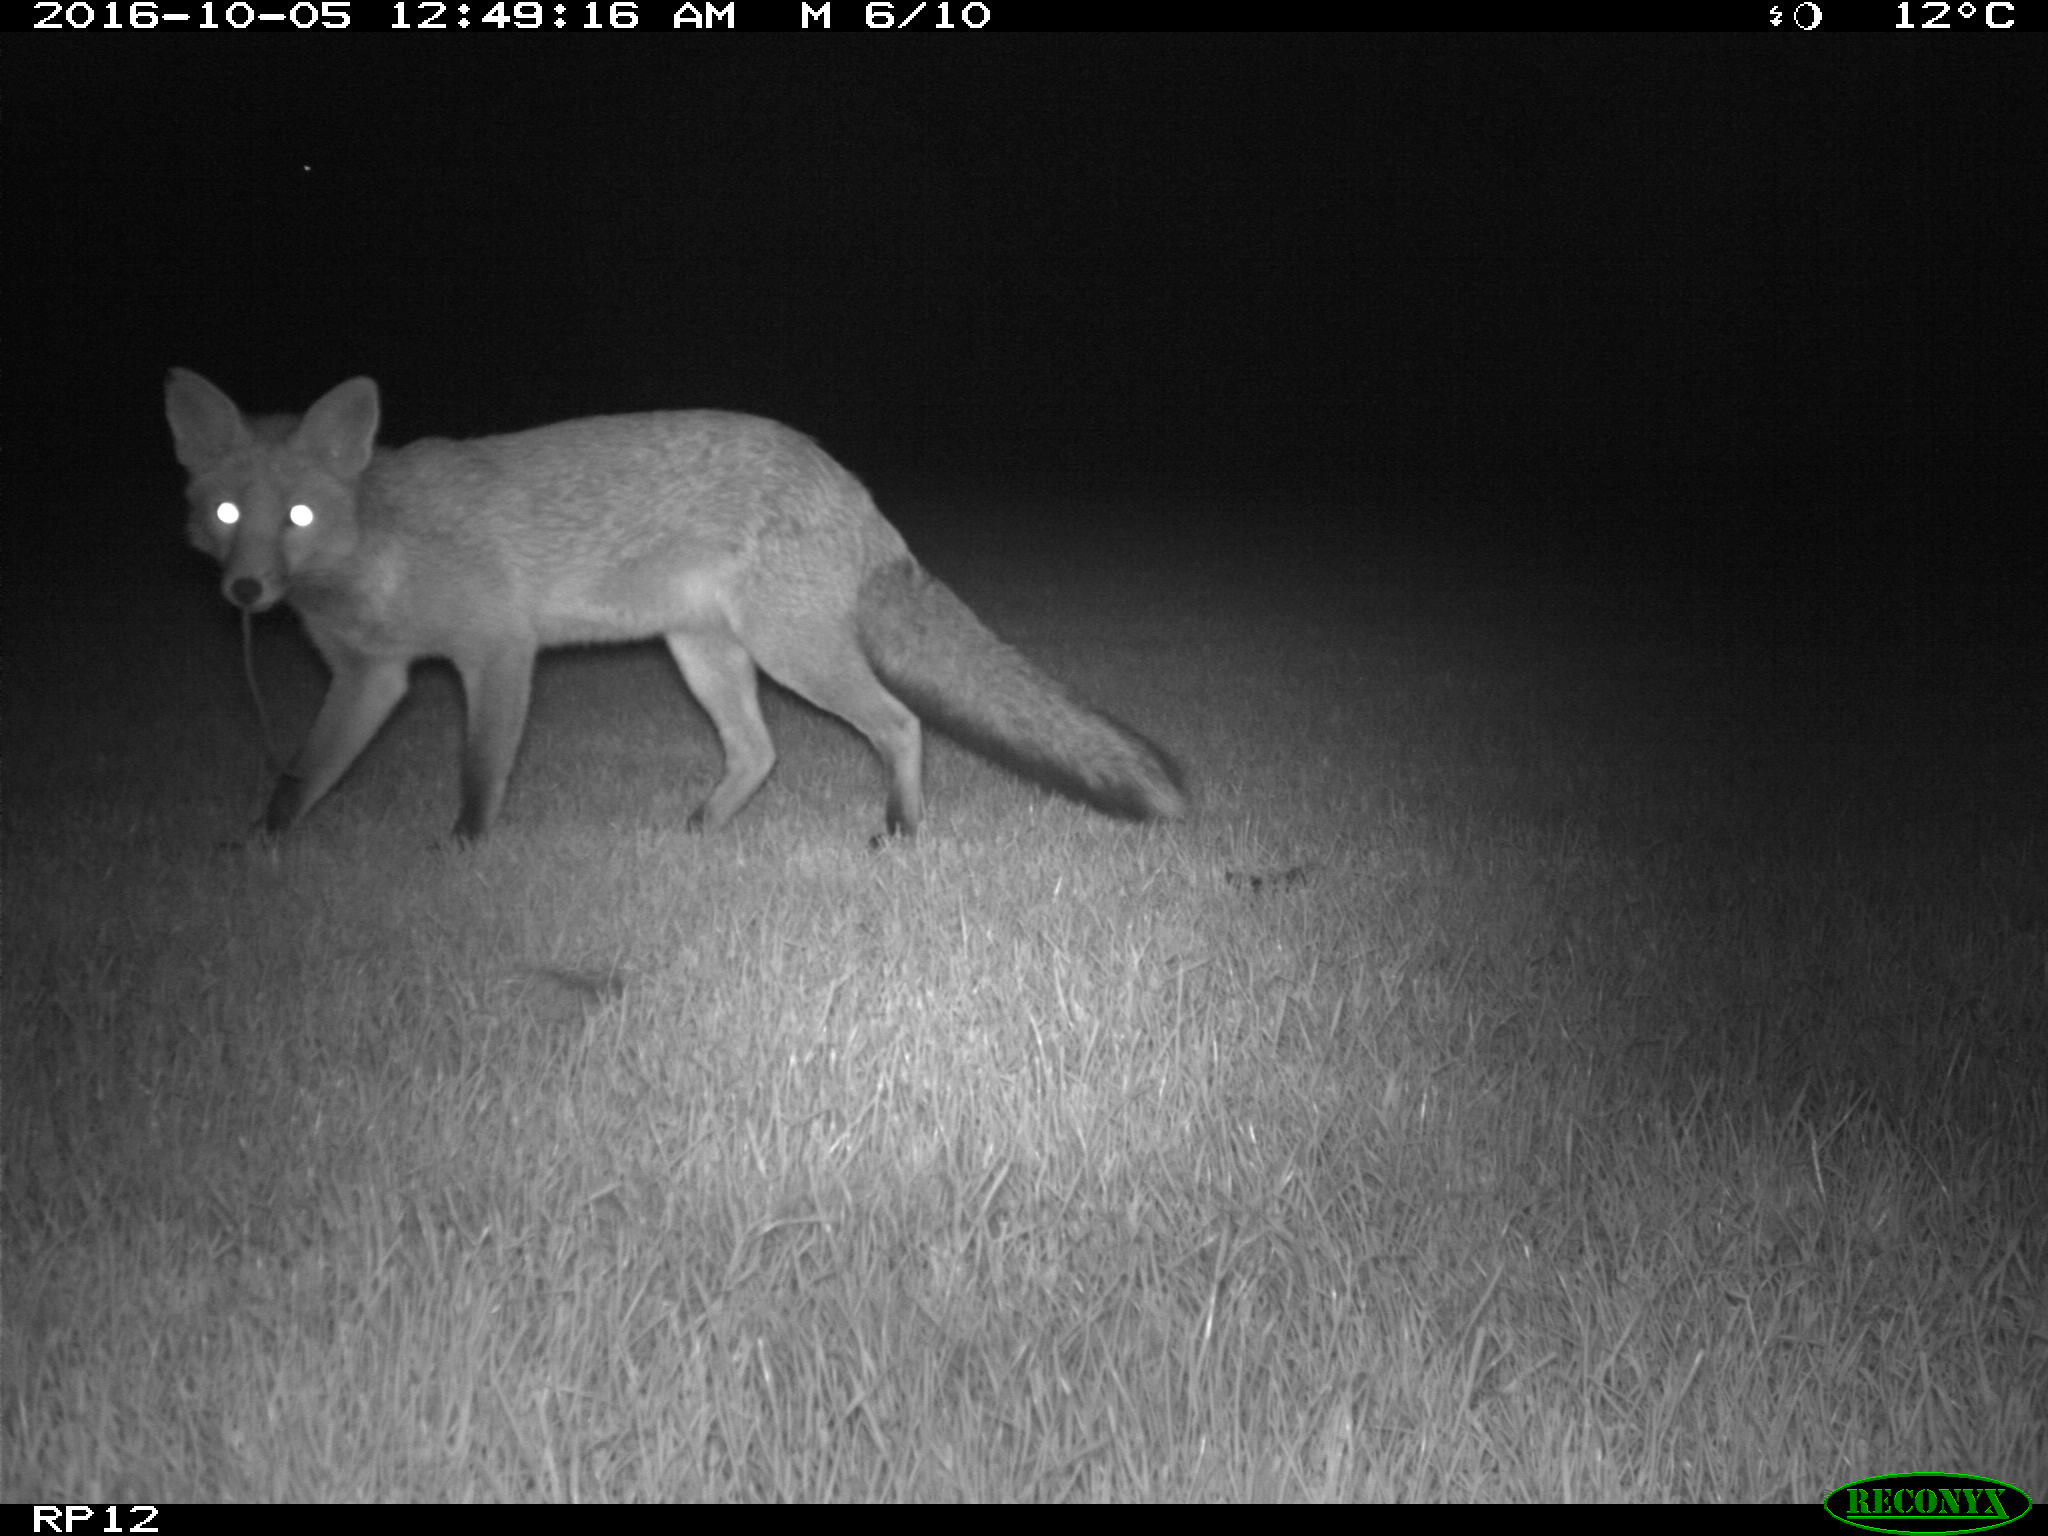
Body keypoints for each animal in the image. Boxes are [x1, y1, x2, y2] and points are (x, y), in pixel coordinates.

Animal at [166, 369, 1189, 842]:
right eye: (226, 515)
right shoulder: (370, 677)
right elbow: (302, 775)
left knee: (898, 724)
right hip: (704, 656)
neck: (377, 552)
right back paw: (699, 833)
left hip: (788, 654)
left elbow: (479, 771)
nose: (245, 591)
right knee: (759, 752)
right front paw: (259, 849)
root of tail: (849, 484)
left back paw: (898, 831)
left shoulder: (496, 652)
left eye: (298, 516)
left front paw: (463, 854)